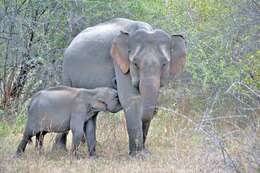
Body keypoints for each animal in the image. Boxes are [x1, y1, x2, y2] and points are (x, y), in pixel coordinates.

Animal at [53, 17, 187, 157]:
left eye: (164, 64)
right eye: (135, 64)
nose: (114, 81)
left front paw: (145, 153)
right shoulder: (120, 63)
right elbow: (130, 99)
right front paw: (138, 156)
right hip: (67, 72)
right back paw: (59, 150)